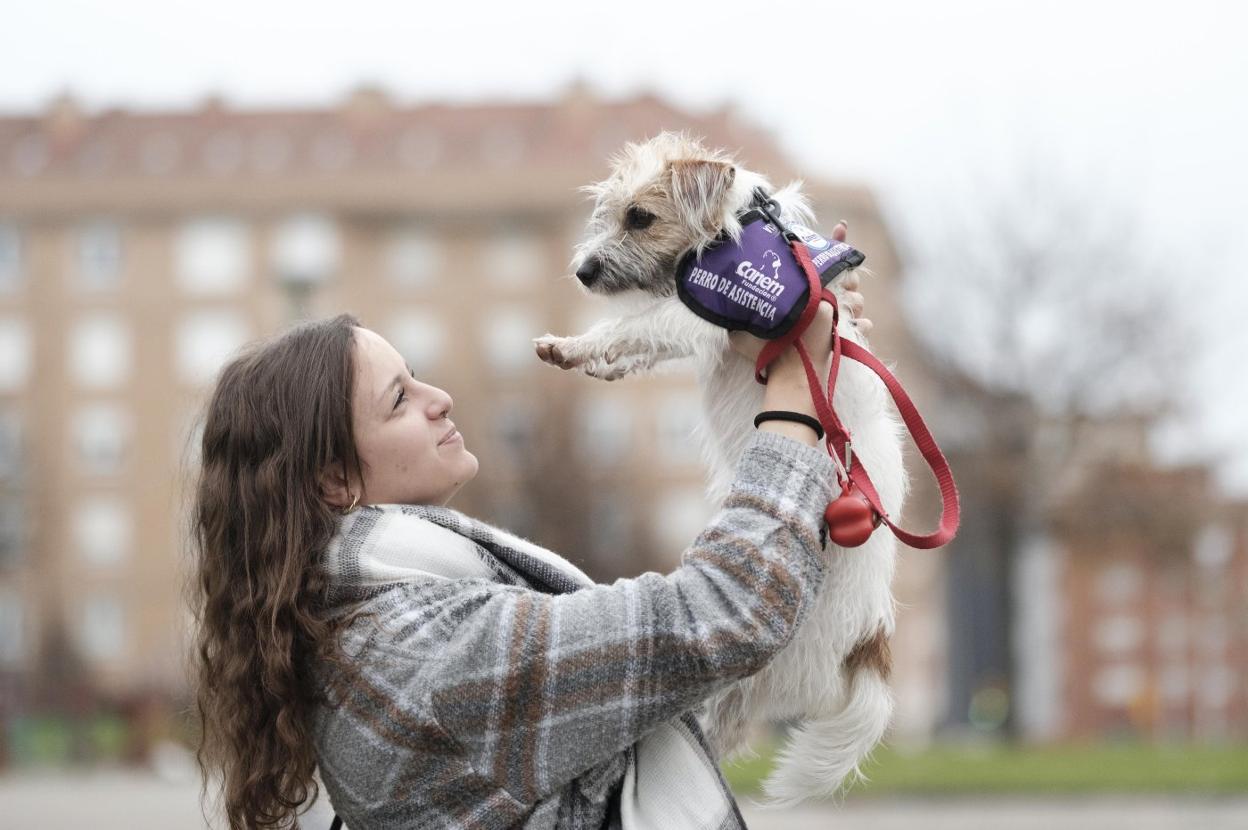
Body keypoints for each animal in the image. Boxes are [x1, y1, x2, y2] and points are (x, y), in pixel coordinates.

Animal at [531, 134, 913, 803]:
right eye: (612, 214)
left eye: (640, 217)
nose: (583, 271)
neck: (737, 229)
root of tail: (872, 641)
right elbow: (637, 343)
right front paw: (587, 359)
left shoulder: (700, 314)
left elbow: (631, 325)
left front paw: (576, 347)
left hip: (750, 659)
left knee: (716, 717)